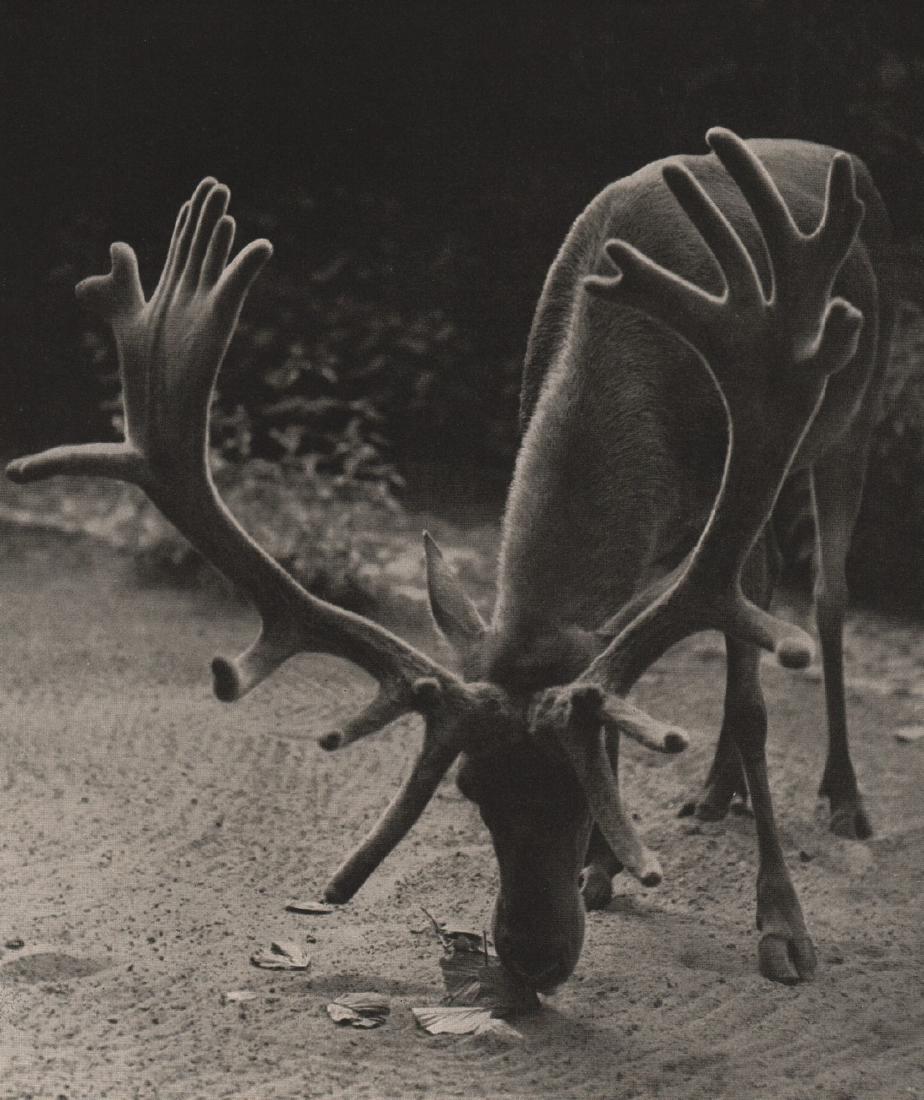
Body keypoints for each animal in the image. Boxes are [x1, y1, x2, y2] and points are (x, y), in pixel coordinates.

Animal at [8, 127, 893, 992]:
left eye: (578, 791)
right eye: (471, 788)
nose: (533, 959)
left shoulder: (732, 520)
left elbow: (748, 704)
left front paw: (782, 926)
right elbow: (616, 684)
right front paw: (603, 869)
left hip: (851, 422)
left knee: (827, 595)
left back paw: (844, 798)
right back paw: (712, 792)